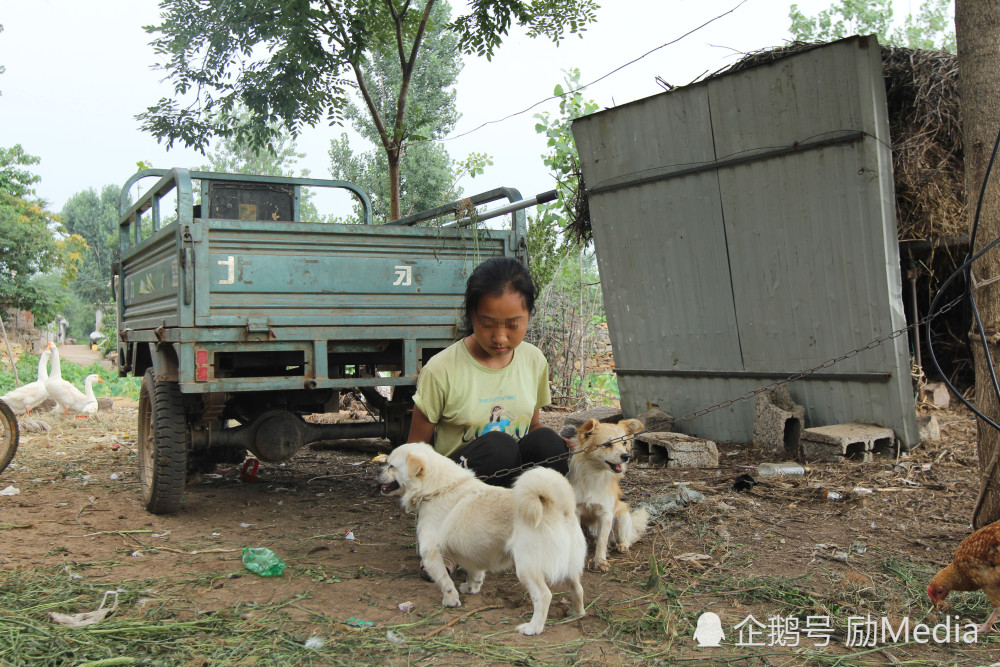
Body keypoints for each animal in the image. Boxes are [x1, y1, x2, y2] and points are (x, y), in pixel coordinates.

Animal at [378, 444, 588, 636]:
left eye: (391, 466)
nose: (378, 469)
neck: (438, 489)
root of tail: (559, 505)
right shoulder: (472, 554)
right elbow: (475, 573)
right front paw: (471, 588)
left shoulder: (430, 553)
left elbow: (444, 582)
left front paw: (451, 601)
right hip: (570, 568)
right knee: (577, 589)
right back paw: (575, 612)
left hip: (526, 568)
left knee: (544, 596)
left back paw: (533, 628)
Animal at [568, 420, 652, 572]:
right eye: (607, 444)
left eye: (624, 443)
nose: (626, 457)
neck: (594, 476)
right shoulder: (576, 511)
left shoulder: (606, 515)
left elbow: (602, 541)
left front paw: (600, 561)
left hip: (622, 517)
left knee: (625, 538)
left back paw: (622, 545)